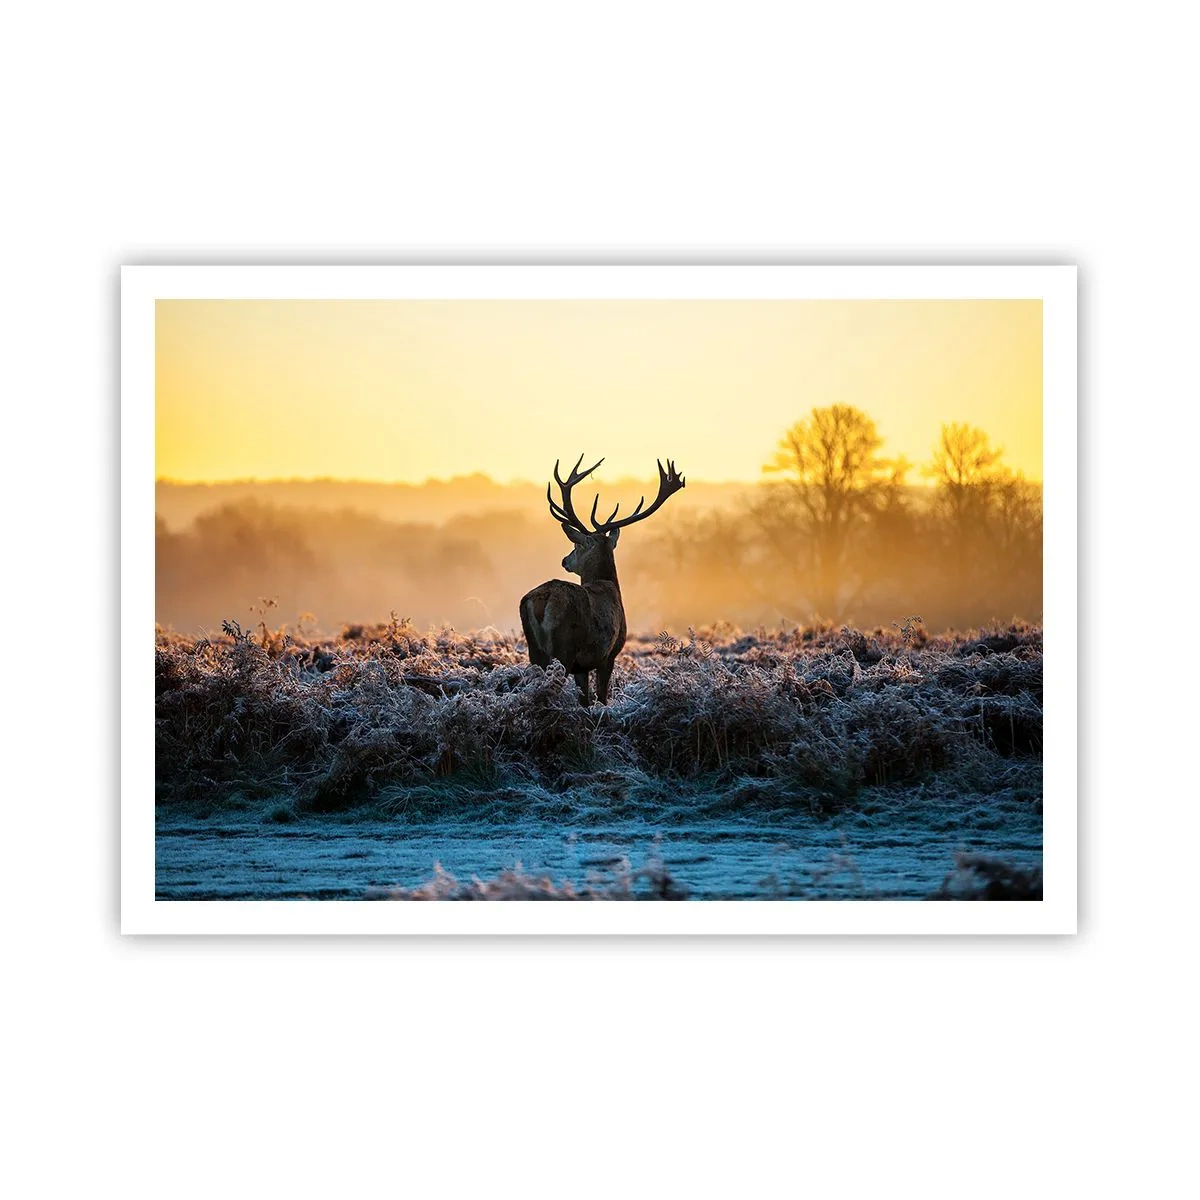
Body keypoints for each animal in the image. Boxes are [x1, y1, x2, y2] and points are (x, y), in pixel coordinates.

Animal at [520, 454, 685, 705]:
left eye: (576, 545)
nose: (565, 560)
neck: (608, 584)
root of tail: (541, 600)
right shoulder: (608, 655)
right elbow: (602, 698)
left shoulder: (583, 666)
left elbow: (585, 701)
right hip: (564, 647)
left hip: (535, 650)